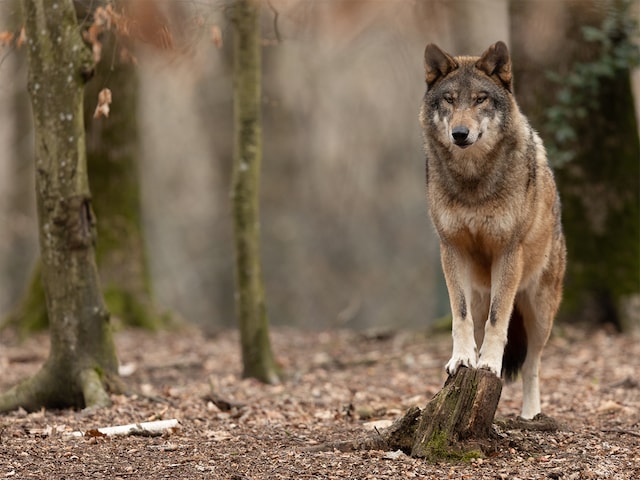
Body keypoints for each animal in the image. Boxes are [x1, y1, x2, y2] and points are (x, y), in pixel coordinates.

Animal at [420, 42, 564, 420]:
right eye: (450, 100)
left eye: (480, 99)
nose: (460, 133)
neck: (473, 181)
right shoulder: (451, 248)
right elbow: (460, 316)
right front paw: (462, 360)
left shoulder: (507, 251)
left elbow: (499, 322)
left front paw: (488, 366)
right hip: (481, 292)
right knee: (478, 321)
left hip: (539, 311)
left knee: (532, 365)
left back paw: (530, 415)